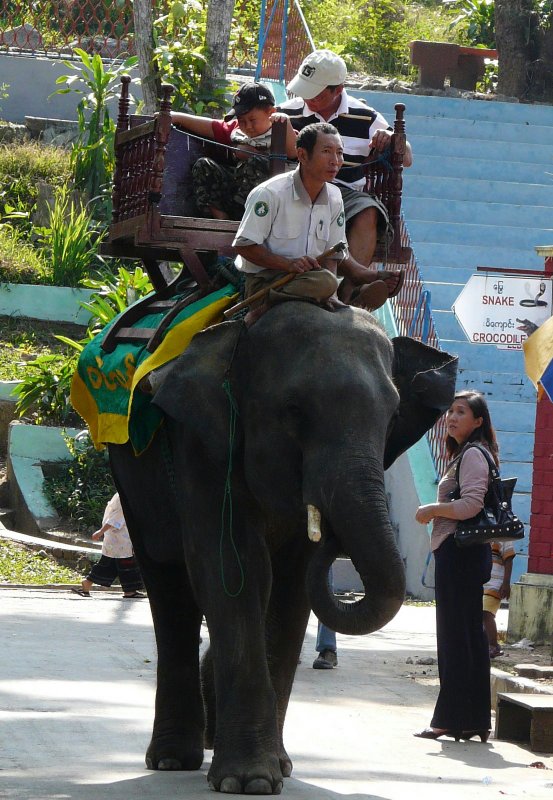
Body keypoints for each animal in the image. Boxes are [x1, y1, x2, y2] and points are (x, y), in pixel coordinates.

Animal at [108, 302, 458, 792]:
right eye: (294, 409)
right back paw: (173, 759)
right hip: (130, 475)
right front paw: (249, 781)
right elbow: (233, 566)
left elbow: (290, 584)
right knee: (169, 581)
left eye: (391, 418)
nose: (333, 535)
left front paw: (278, 769)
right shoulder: (198, 441)